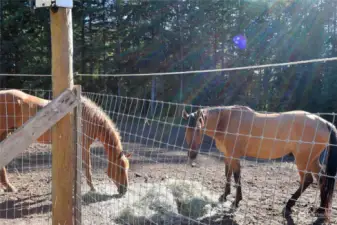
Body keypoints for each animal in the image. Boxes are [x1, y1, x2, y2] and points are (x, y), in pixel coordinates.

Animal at [0, 89, 131, 195]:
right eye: (121, 169)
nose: (124, 190)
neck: (88, 118)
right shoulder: (84, 146)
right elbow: (88, 167)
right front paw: (92, 188)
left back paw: (7, 187)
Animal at [182, 105, 336, 221]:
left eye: (199, 129)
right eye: (187, 129)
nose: (192, 154)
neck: (227, 121)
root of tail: (324, 123)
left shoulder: (234, 156)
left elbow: (237, 177)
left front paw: (236, 201)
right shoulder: (227, 156)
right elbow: (228, 175)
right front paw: (224, 196)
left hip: (303, 160)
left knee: (307, 180)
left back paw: (289, 205)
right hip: (312, 160)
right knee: (322, 179)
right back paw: (320, 209)